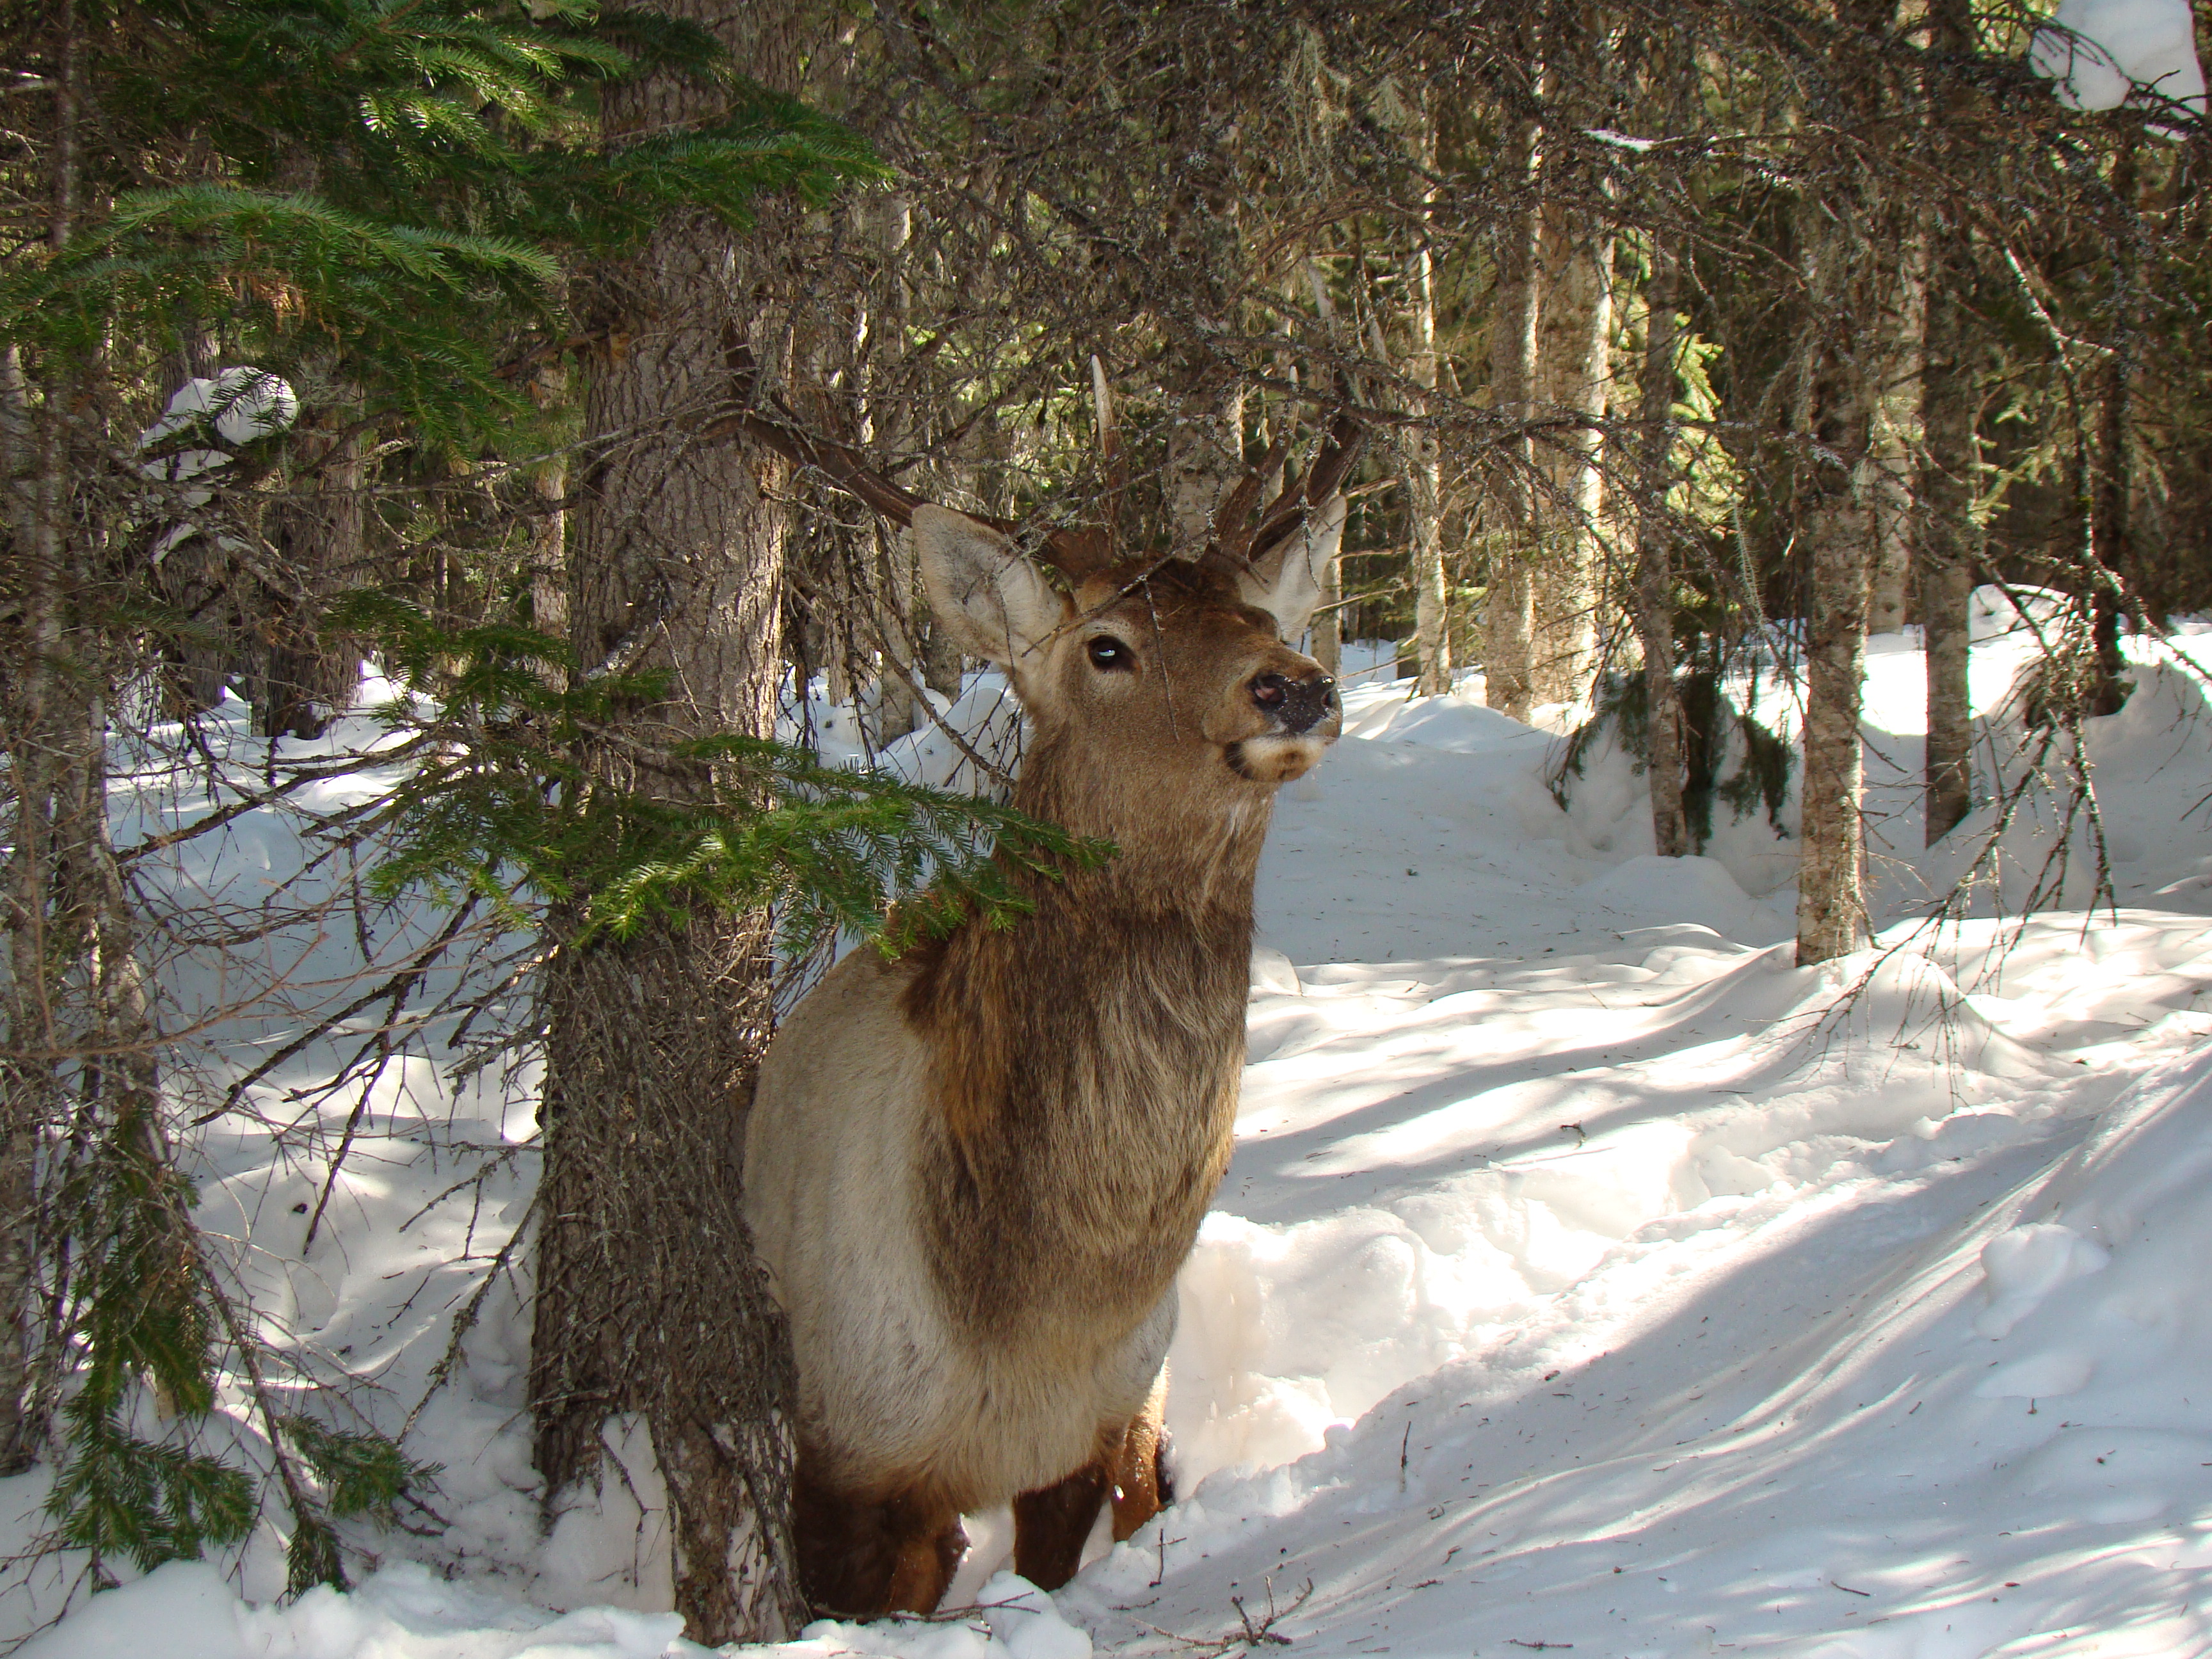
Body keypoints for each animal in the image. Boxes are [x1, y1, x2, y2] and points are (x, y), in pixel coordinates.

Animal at [743, 402, 1354, 1628]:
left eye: (1262, 613)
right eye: (1106, 646)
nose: (1295, 684)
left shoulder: (1087, 1431)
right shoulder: (843, 1456)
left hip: (1144, 1412)